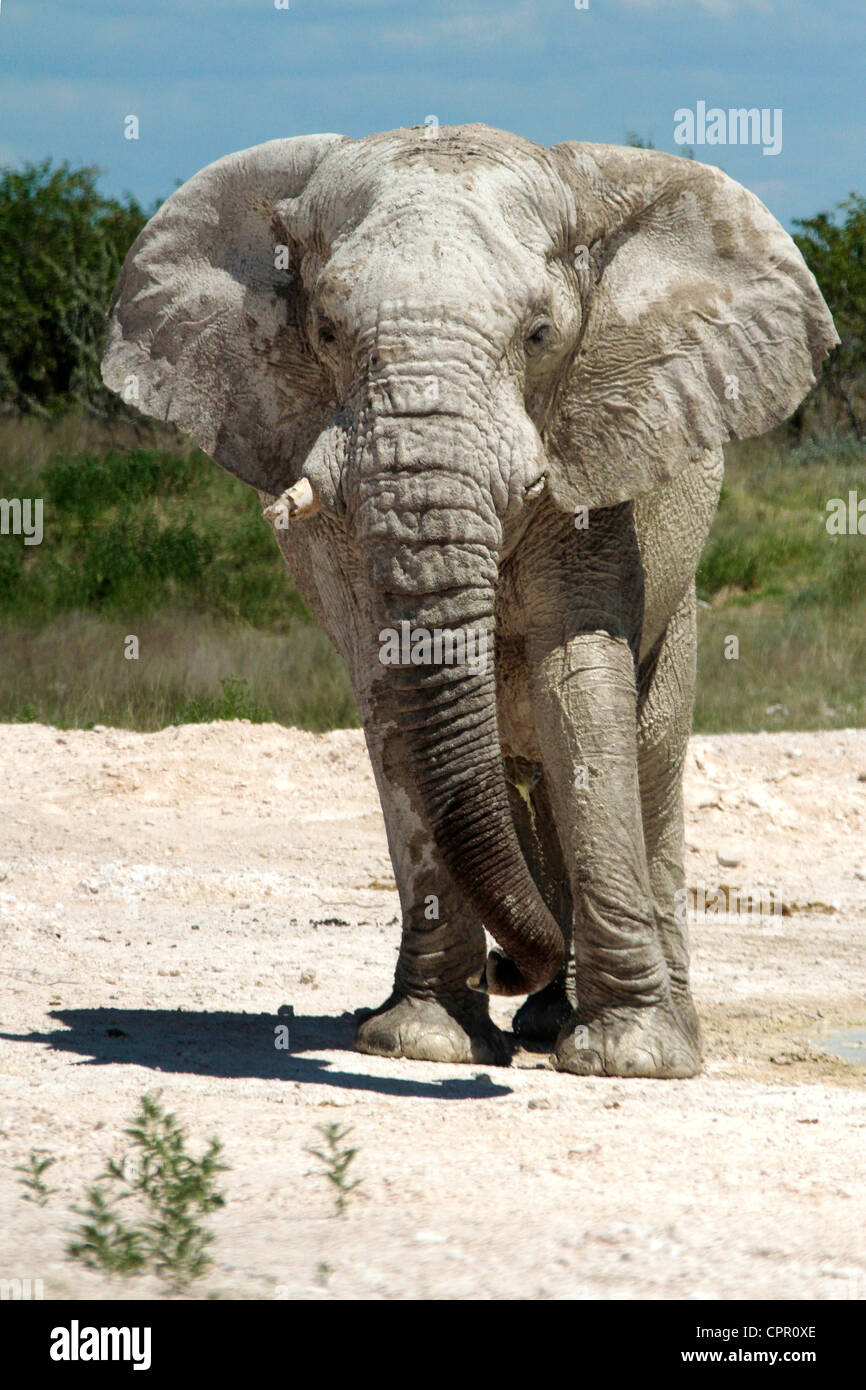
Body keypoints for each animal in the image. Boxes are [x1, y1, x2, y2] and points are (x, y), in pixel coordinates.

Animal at [102, 124, 837, 1078]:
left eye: (541, 333)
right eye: (326, 329)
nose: (505, 967)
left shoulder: (601, 454)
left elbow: (580, 691)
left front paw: (629, 1058)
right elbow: (393, 701)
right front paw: (423, 1041)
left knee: (647, 756)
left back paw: (632, 1026)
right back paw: (542, 1019)